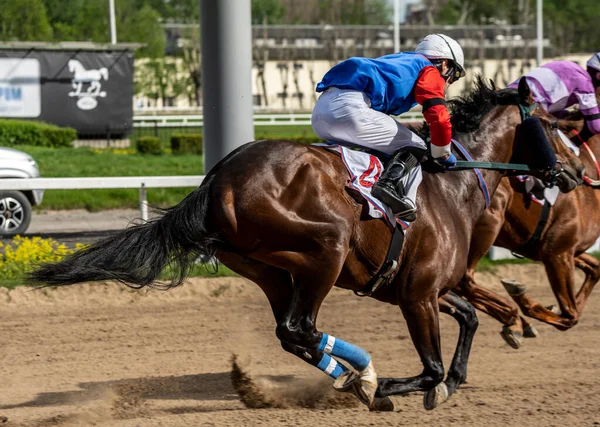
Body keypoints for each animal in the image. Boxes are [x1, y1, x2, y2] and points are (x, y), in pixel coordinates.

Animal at [28, 78, 580, 412]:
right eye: (555, 127)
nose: (574, 173)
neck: (453, 186)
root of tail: (218, 179)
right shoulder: (418, 295)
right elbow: (430, 368)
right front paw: (396, 388)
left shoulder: (421, 288)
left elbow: (467, 320)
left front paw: (453, 379)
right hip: (326, 249)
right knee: (301, 326)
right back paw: (364, 377)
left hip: (268, 267)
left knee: (292, 332)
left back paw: (351, 375)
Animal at [454, 112, 600, 350]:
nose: (578, 171)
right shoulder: (557, 253)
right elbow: (570, 316)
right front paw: (523, 299)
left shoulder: (559, 250)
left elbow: (594, 269)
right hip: (489, 223)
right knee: (463, 281)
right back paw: (514, 319)